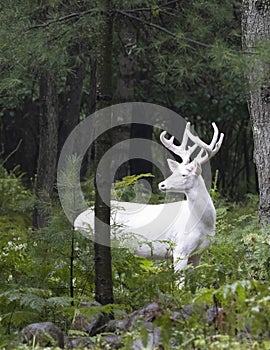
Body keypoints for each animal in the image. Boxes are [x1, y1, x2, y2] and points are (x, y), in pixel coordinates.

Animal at [74, 121, 224, 272]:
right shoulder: (180, 249)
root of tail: (77, 221)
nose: (162, 185)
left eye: (184, 174)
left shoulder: (198, 254)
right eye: (174, 172)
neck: (203, 223)